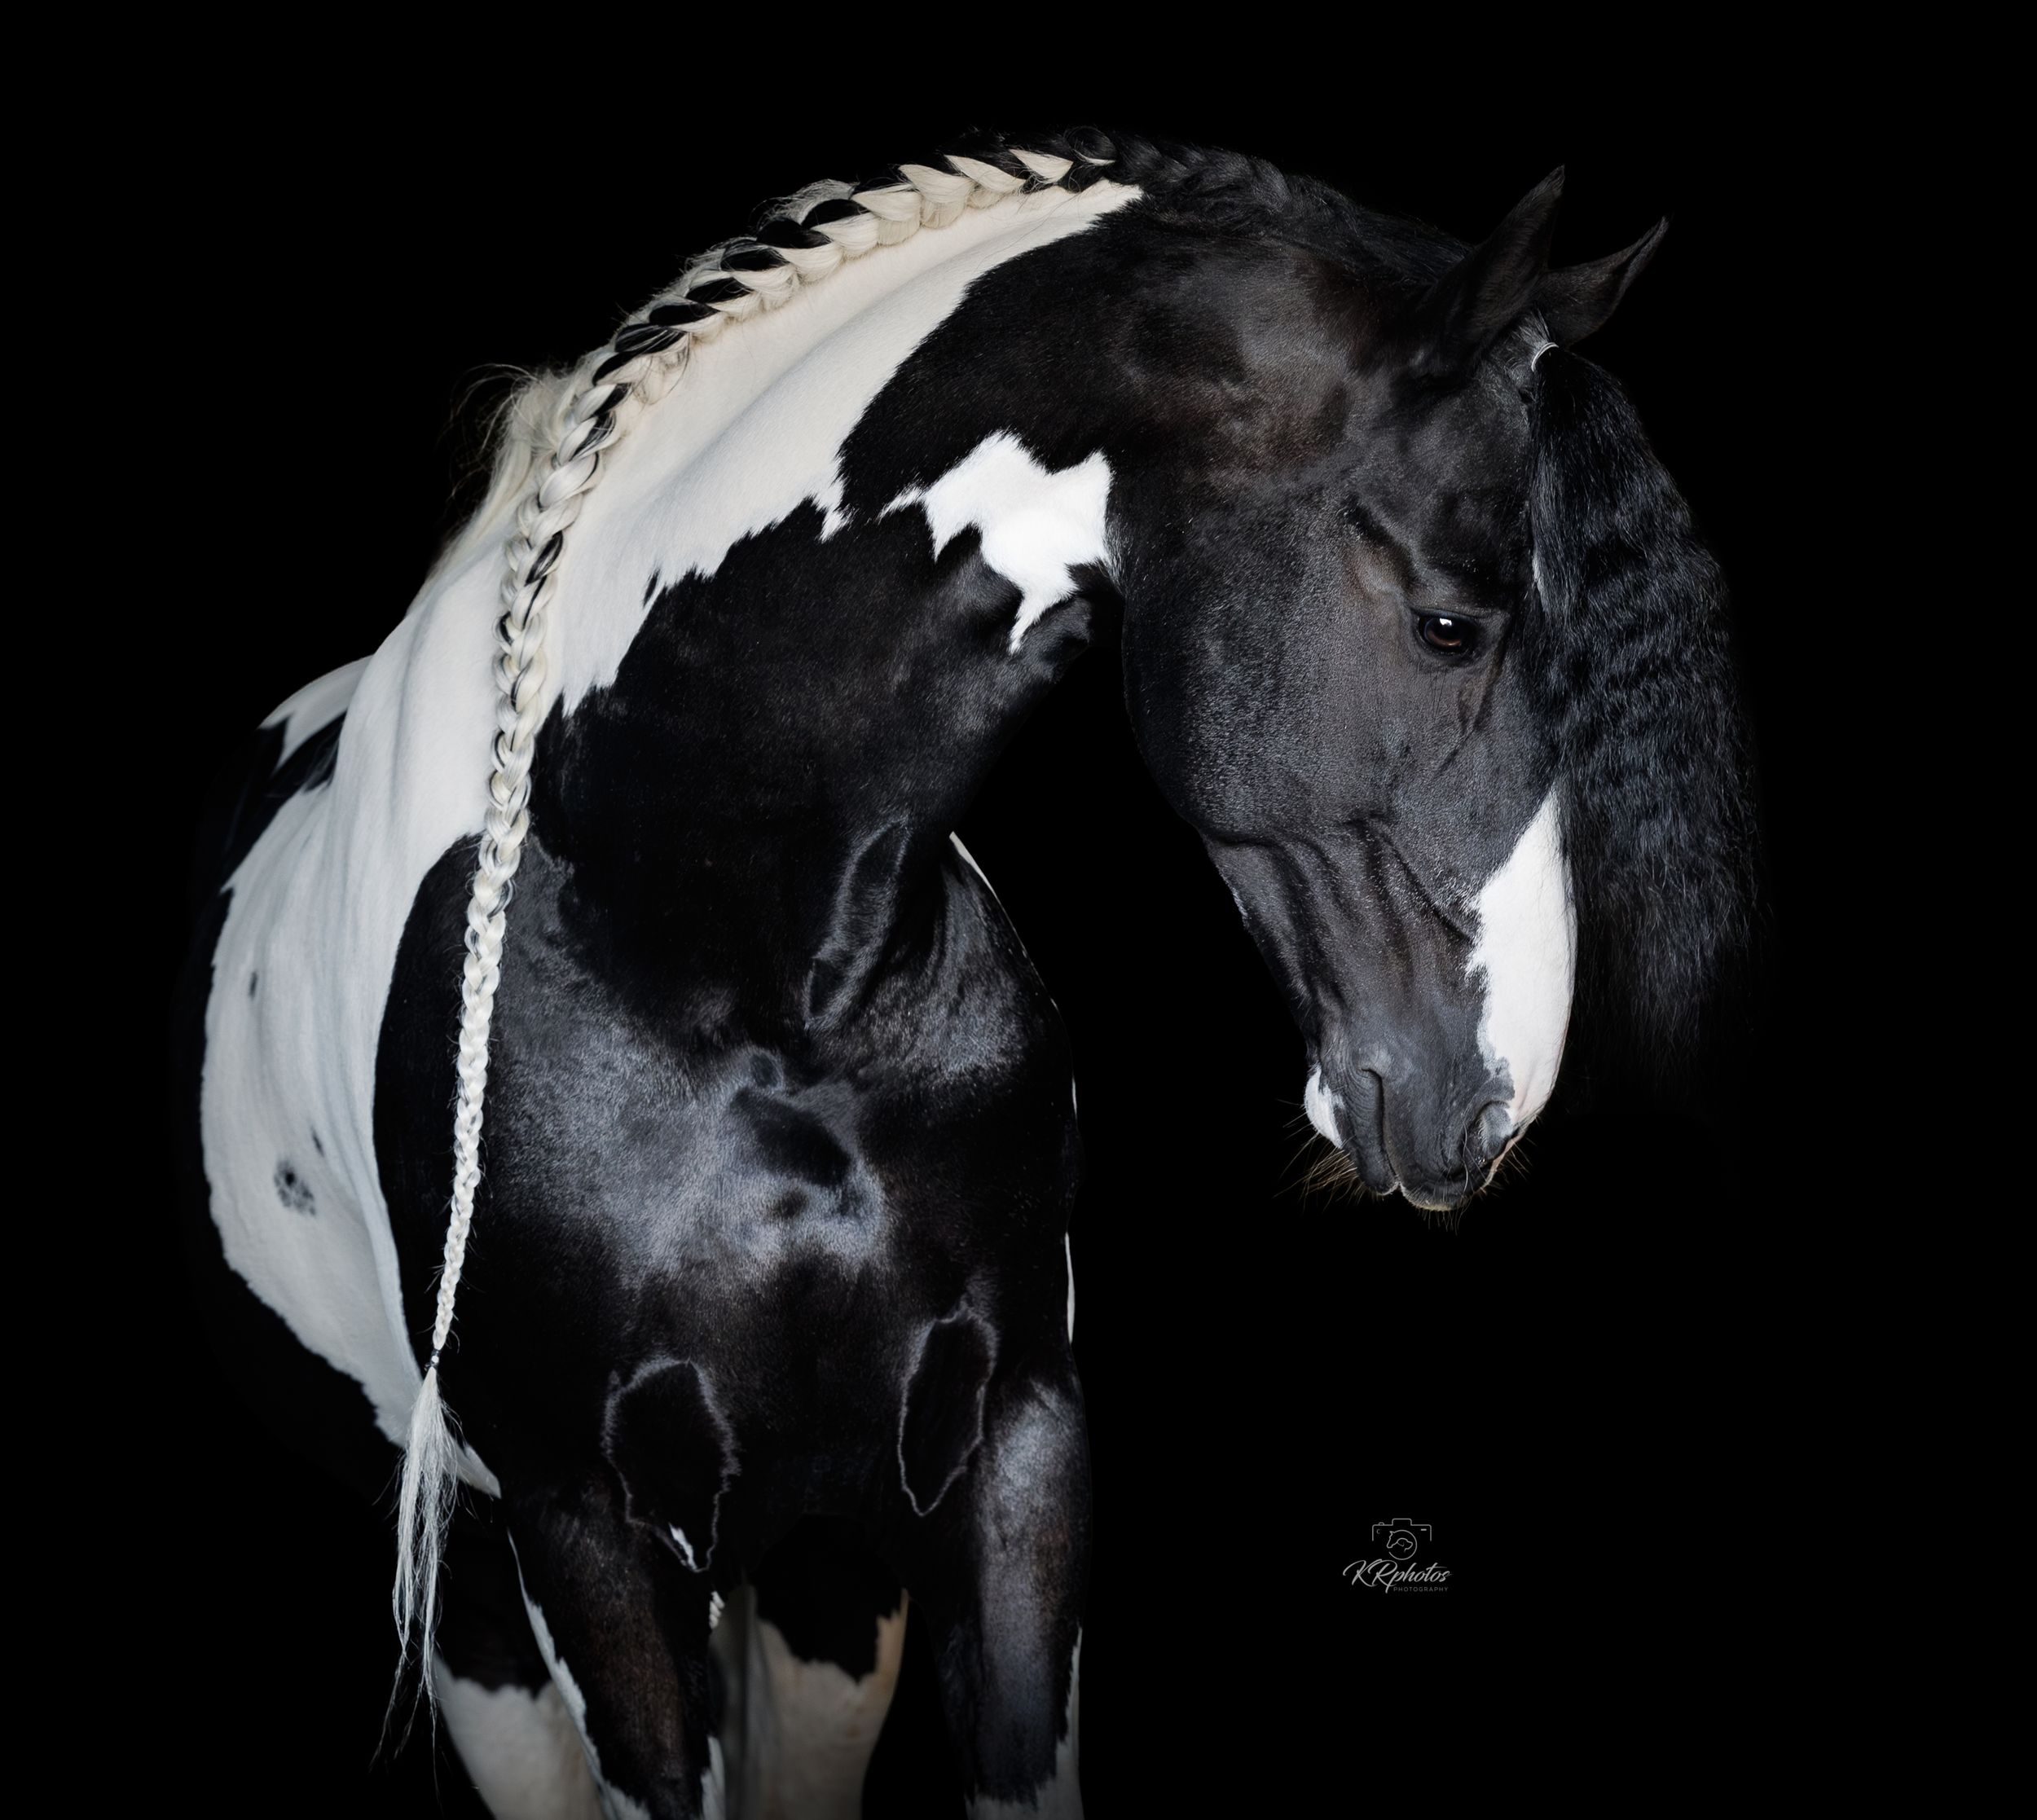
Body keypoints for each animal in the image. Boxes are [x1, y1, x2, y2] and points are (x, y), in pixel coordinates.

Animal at [180, 130, 1756, 1819]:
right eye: (1453, 624)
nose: (1486, 1101)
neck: (719, 949)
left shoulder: (1010, 1448)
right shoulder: (579, 1527)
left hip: (819, 1568)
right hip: (493, 1603)